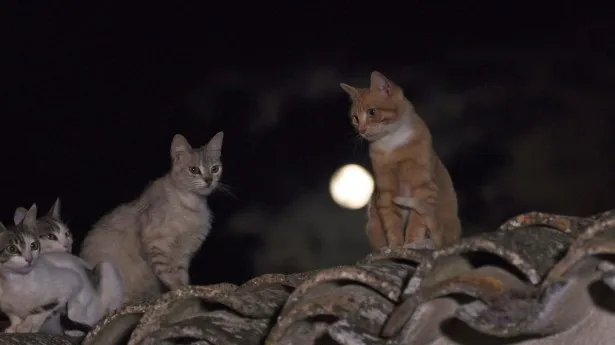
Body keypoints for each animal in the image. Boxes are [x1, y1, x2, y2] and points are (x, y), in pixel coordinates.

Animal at [80, 132, 225, 304]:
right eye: (194, 169)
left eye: (215, 168)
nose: (209, 180)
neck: (192, 205)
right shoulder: (156, 243)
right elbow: (170, 275)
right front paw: (181, 290)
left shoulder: (183, 253)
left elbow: (182, 275)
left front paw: (186, 289)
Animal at [342, 72, 462, 250]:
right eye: (355, 118)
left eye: (372, 112)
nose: (361, 130)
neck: (392, 144)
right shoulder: (385, 192)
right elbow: (391, 223)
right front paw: (395, 246)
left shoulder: (424, 187)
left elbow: (416, 222)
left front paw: (412, 243)